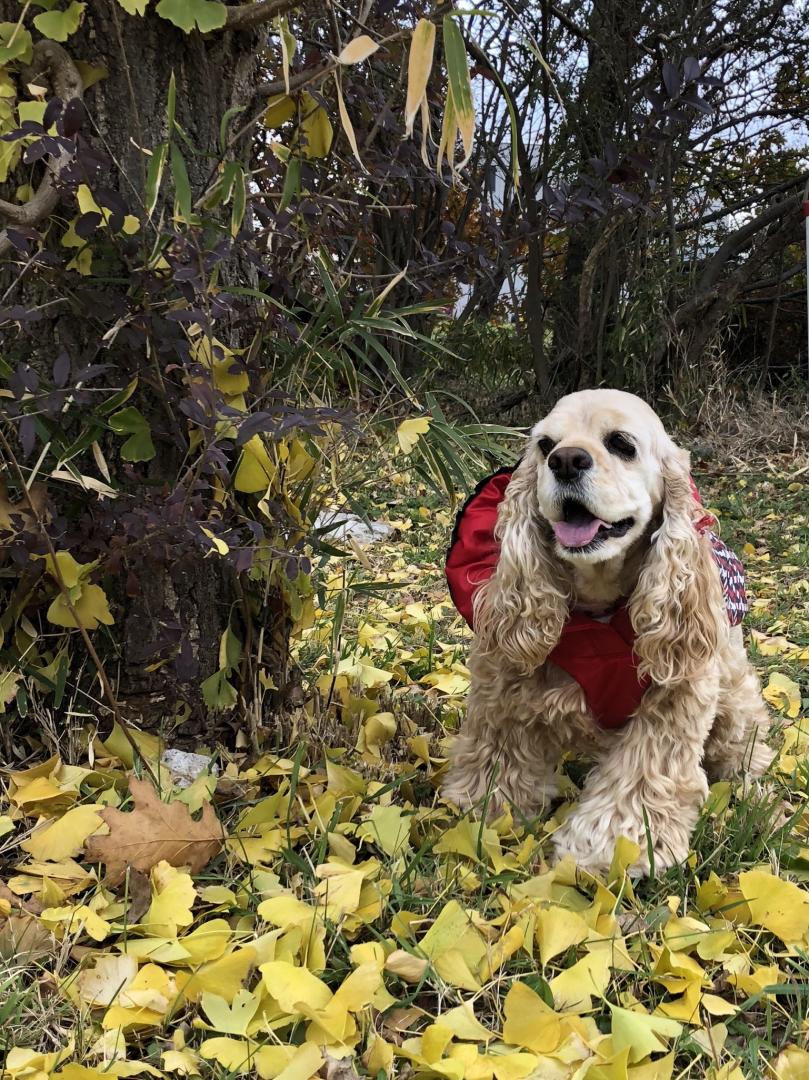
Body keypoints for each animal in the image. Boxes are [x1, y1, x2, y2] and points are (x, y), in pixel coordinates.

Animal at [442, 388, 769, 876]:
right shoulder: (503, 681)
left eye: (621, 444)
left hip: (736, 698)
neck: (598, 598)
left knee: (743, 746)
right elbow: (496, 750)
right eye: (545, 446)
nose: (565, 461)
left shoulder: (675, 697)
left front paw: (609, 848)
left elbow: (638, 779)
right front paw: (484, 808)